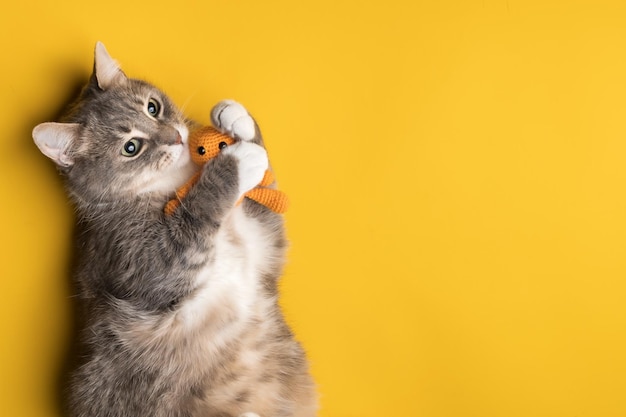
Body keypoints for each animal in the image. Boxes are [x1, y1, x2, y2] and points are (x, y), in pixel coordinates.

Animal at [33, 42, 316, 416]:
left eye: (153, 107)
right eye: (131, 147)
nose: (177, 138)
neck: (179, 181)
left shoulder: (264, 243)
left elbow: (266, 200)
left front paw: (238, 122)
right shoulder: (142, 258)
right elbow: (193, 219)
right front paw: (236, 162)